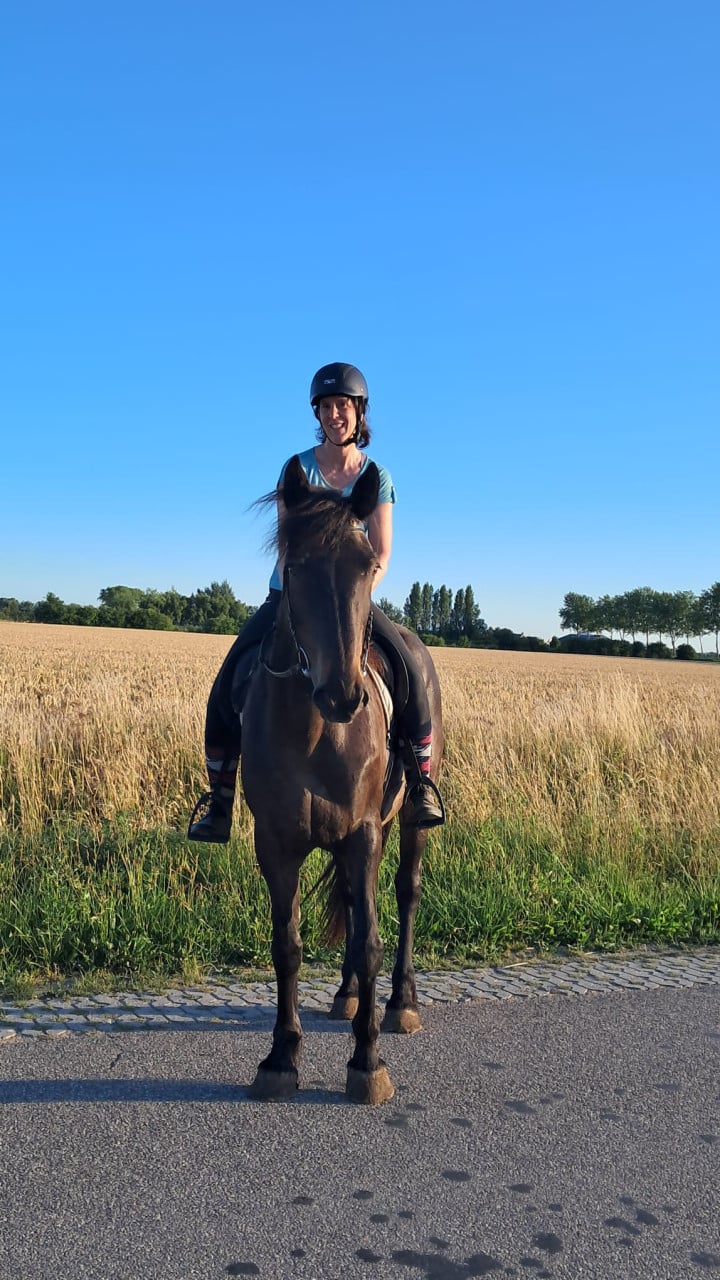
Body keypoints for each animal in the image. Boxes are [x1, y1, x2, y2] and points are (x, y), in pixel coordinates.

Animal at [240, 454, 444, 1104]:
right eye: (296, 566)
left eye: (367, 565)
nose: (344, 695)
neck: (314, 728)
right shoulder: (276, 843)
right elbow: (287, 945)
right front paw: (281, 1057)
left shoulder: (364, 833)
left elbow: (372, 940)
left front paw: (367, 1061)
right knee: (355, 905)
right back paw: (349, 996)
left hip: (407, 823)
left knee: (405, 893)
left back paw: (400, 1003)